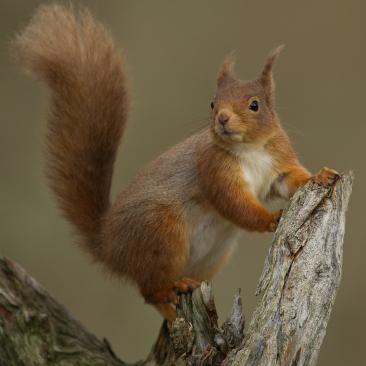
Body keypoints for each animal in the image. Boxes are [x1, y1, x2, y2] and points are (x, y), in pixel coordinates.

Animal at [15, 5, 338, 320]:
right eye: (212, 103)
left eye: (255, 105)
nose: (222, 118)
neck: (250, 149)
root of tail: (108, 245)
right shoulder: (214, 171)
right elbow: (235, 204)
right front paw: (269, 219)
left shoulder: (277, 164)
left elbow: (291, 181)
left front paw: (319, 176)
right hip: (161, 235)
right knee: (149, 291)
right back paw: (171, 299)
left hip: (211, 256)